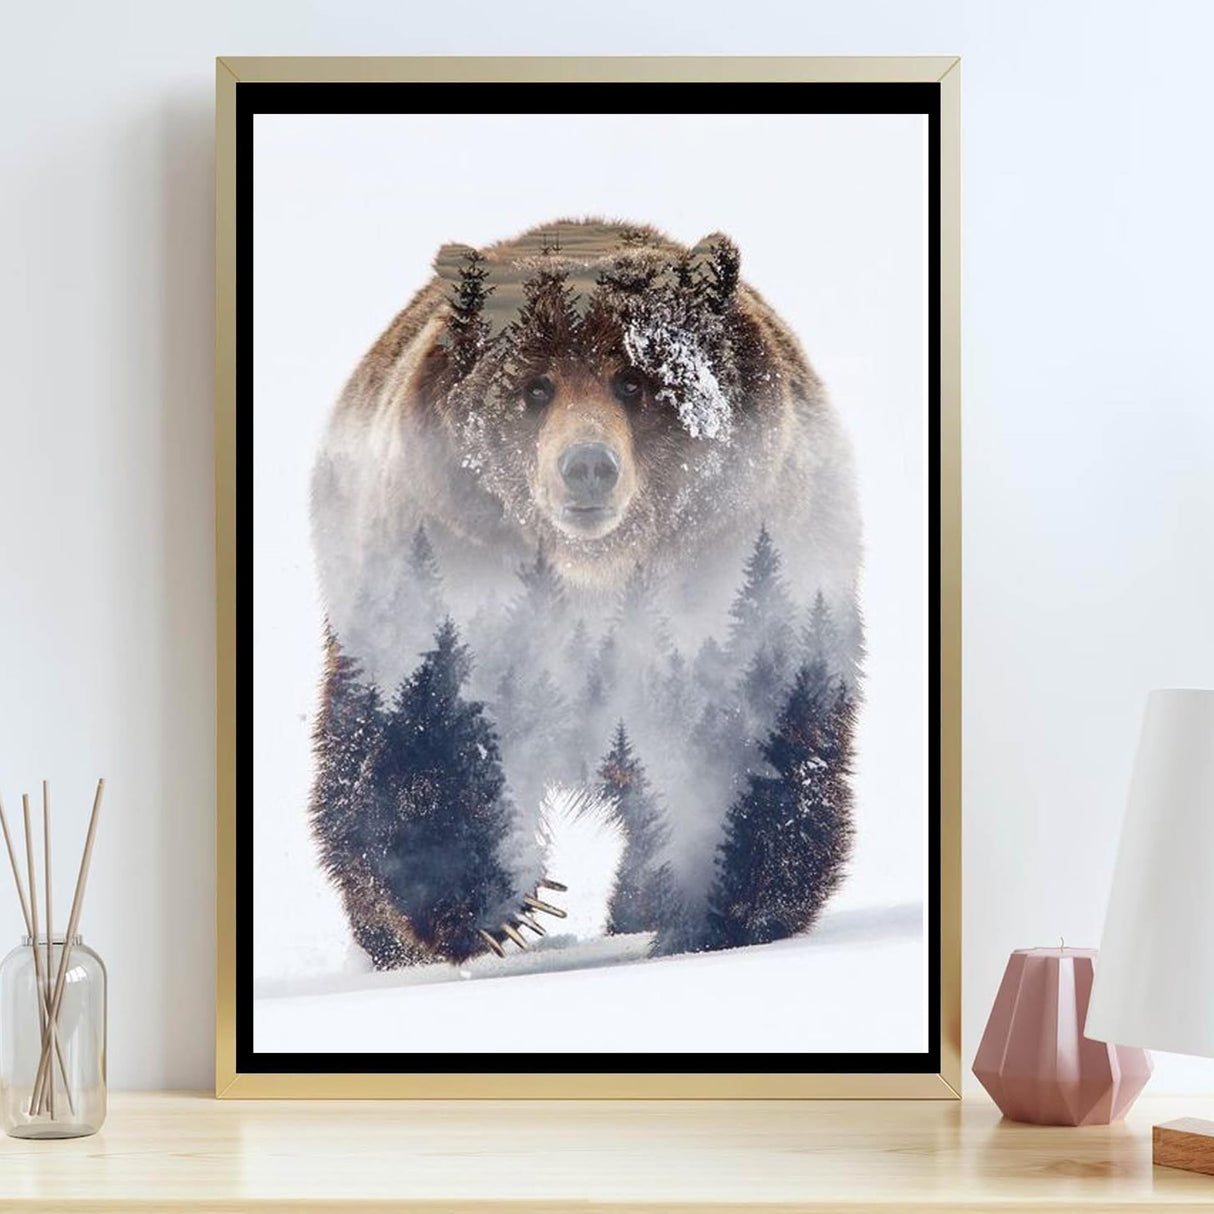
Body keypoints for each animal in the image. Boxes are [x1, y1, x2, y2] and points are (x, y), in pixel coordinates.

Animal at [308, 219, 863, 968]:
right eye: (534, 389)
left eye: (632, 379)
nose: (589, 467)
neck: (593, 576)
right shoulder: (445, 575)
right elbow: (417, 727)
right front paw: (498, 908)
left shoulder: (742, 582)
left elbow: (759, 744)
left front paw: (724, 906)